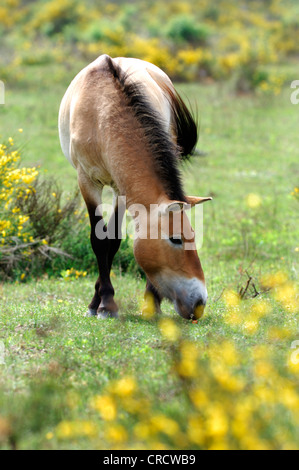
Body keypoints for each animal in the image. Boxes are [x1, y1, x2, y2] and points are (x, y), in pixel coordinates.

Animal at [58, 54, 212, 320]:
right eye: (176, 239)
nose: (199, 303)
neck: (102, 113)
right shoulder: (87, 182)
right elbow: (99, 240)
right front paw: (102, 303)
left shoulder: (122, 188)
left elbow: (114, 239)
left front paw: (110, 301)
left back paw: (152, 301)